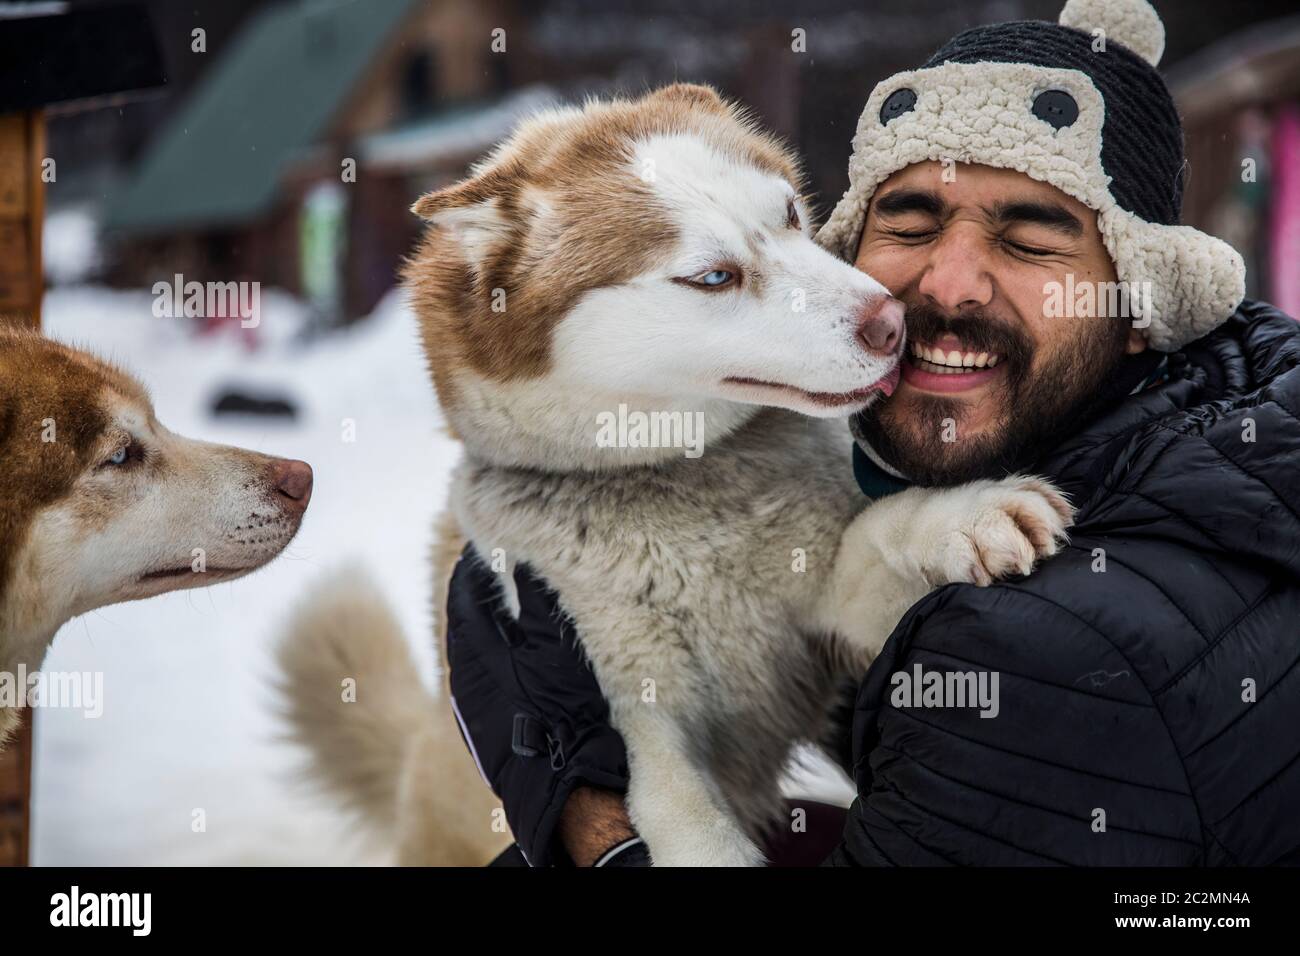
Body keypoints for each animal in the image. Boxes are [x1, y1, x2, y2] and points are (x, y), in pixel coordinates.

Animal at [282, 85, 1066, 868]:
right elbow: (683, 816)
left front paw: (963, 517)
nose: (892, 322)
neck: (686, 499)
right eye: (714, 277)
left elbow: (877, 534)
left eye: (788, 214)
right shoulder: (635, 714)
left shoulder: (826, 610)